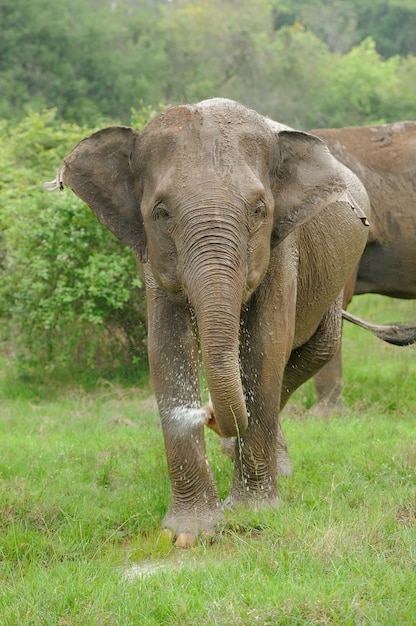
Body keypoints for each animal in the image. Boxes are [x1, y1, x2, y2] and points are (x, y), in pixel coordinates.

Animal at [46, 97, 400, 544]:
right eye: (161, 212)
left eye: (259, 210)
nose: (211, 415)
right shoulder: (152, 255)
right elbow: (166, 347)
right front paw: (189, 533)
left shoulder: (282, 245)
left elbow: (267, 345)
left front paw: (252, 512)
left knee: (318, 349)